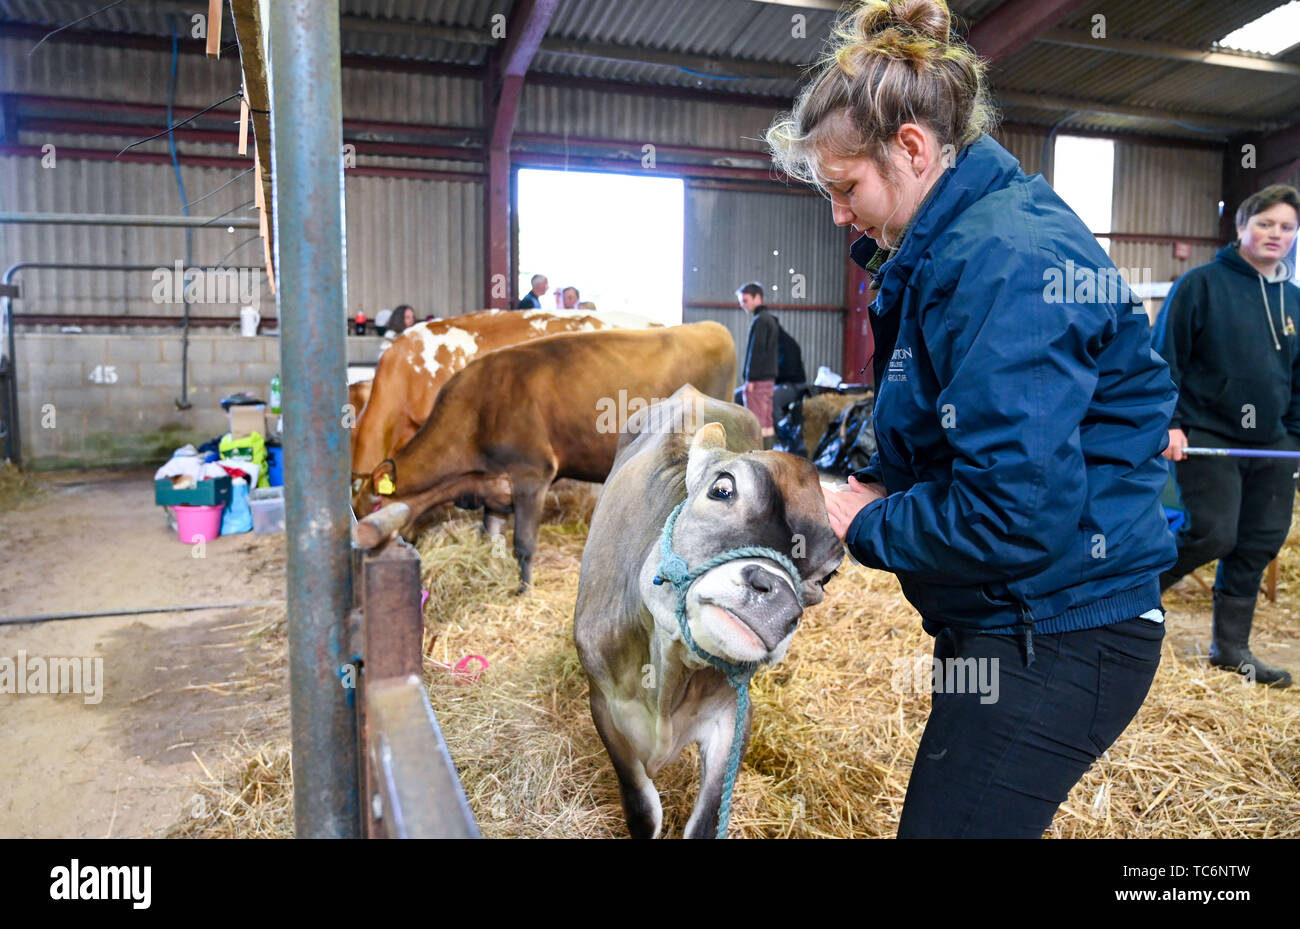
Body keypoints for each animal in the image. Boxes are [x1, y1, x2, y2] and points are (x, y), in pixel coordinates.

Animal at [374, 323, 743, 592]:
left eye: (372, 505)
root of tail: (710, 327)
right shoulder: (494, 484)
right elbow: (490, 534)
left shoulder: (531, 474)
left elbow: (523, 543)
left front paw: (524, 590)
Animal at [572, 389, 837, 841]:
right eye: (723, 488)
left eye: (829, 574)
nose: (780, 600)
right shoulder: (604, 704)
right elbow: (642, 807)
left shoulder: (733, 715)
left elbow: (706, 822)